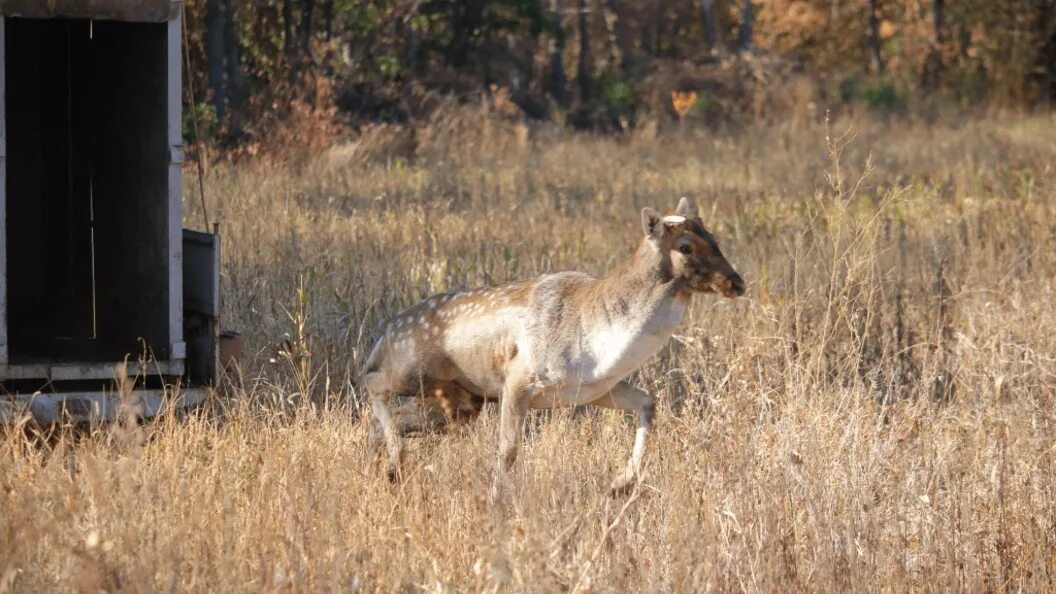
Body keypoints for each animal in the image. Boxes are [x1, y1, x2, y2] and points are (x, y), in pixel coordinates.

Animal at [359, 197, 747, 494]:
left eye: (714, 236)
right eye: (685, 247)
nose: (737, 282)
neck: (604, 347)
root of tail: (384, 335)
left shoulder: (593, 389)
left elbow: (648, 402)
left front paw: (621, 483)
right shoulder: (518, 378)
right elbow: (509, 449)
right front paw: (498, 502)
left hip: (460, 404)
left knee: (396, 418)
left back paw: (385, 467)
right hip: (410, 369)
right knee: (370, 381)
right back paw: (394, 459)